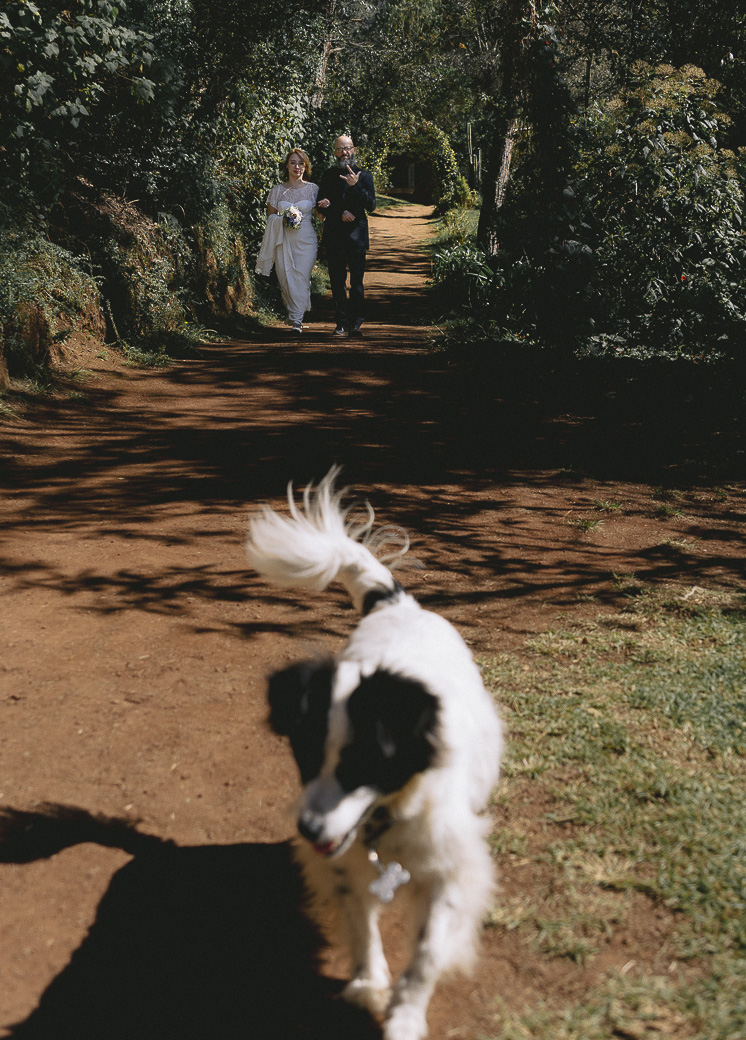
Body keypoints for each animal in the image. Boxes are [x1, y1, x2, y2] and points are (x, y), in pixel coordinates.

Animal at [247, 472, 503, 1040]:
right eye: (303, 757)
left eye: (361, 764)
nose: (308, 830)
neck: (388, 818)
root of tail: (395, 605)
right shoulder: (345, 865)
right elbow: (361, 926)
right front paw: (369, 984)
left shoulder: (450, 868)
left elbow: (428, 952)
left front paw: (405, 1016)